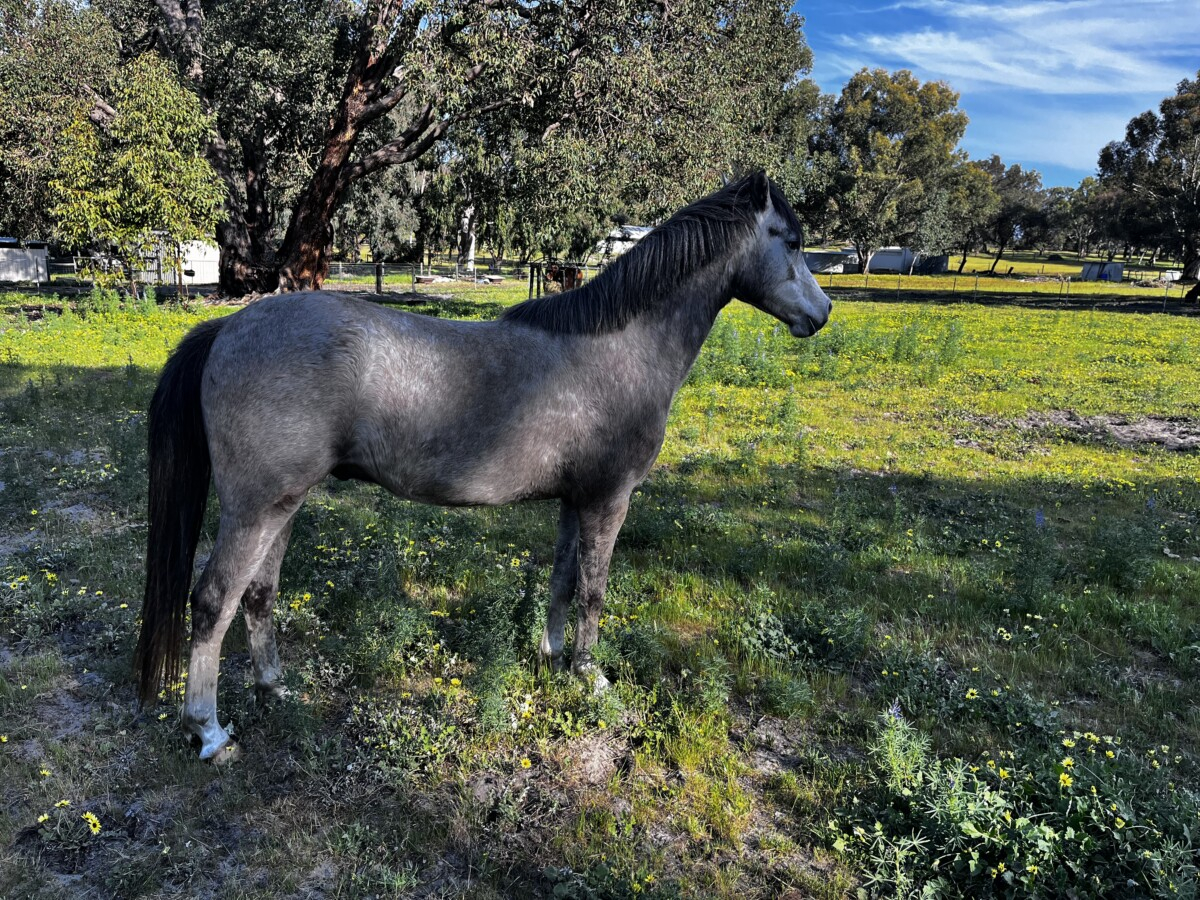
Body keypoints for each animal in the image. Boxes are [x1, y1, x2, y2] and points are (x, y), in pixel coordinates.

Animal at [133, 171, 832, 762]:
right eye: (793, 241)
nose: (821, 314)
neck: (617, 347)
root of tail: (228, 327)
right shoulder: (608, 499)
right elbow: (593, 591)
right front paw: (590, 677)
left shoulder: (574, 502)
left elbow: (561, 581)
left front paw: (550, 656)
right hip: (255, 508)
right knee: (214, 601)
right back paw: (210, 732)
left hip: (283, 505)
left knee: (258, 594)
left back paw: (275, 689)